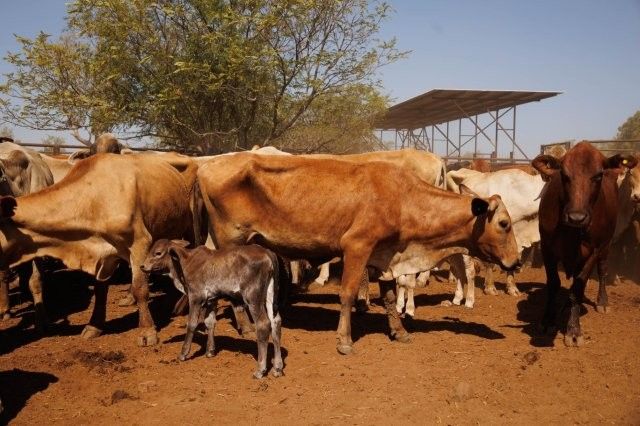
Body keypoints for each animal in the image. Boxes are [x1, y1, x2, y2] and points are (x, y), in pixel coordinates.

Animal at [0, 153, 200, 346]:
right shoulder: (104, 255)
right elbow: (100, 290)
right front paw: (94, 326)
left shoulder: (140, 244)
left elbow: (140, 288)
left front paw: (147, 331)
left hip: (190, 227)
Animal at [141, 240, 283, 378]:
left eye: (158, 253)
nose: (142, 266)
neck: (187, 261)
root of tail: (267, 251)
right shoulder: (211, 300)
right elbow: (209, 322)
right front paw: (210, 351)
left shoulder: (195, 297)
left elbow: (191, 324)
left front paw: (183, 353)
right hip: (269, 296)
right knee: (276, 322)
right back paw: (277, 368)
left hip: (253, 298)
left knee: (263, 324)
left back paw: (260, 370)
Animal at [196, 153, 520, 354]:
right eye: (504, 223)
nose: (515, 262)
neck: (403, 199)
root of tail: (206, 166)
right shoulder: (357, 246)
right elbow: (348, 294)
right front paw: (344, 340)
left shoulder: (386, 256)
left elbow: (389, 298)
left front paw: (399, 331)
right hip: (230, 241)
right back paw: (246, 328)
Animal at [532, 142, 637, 346]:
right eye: (564, 175)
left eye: (598, 175)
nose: (576, 217)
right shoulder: (547, 248)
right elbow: (553, 284)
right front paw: (548, 320)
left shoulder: (594, 251)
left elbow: (578, 287)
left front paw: (573, 331)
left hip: (606, 247)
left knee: (602, 271)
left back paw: (602, 302)